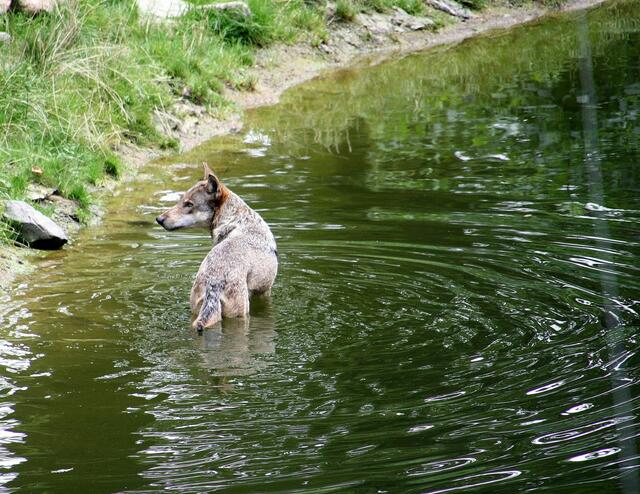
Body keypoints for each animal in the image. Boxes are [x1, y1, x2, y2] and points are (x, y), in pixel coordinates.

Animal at [156, 163, 278, 331]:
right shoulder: (266, 291)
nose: (159, 219)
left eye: (188, 204)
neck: (235, 220)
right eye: (181, 201)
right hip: (241, 314)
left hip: (196, 310)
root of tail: (213, 286)